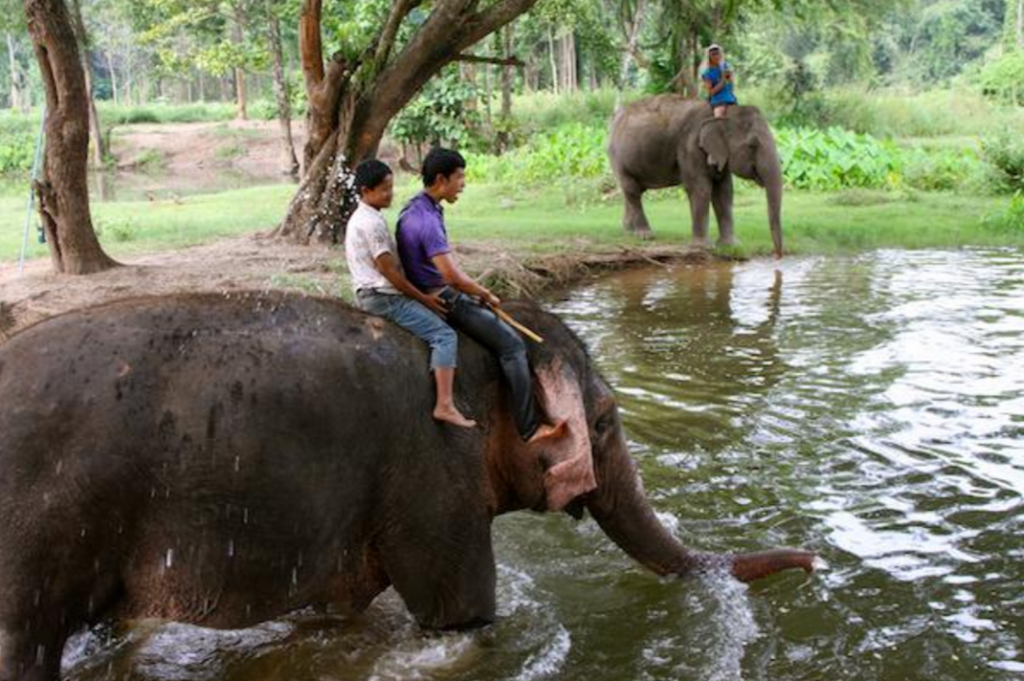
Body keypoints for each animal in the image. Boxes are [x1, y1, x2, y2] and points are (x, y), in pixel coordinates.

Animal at [0, 292, 815, 679]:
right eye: (609, 421)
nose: (813, 559)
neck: (487, 346)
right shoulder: (433, 476)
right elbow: (462, 620)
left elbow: (339, 614)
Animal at [606, 94, 782, 256]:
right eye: (752, 144)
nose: (778, 255)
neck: (723, 113)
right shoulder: (691, 147)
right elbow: (701, 189)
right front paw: (703, 247)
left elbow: (724, 192)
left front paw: (731, 246)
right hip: (617, 158)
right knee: (632, 190)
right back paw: (645, 235)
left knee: (631, 191)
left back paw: (629, 230)